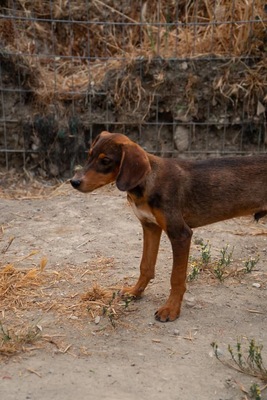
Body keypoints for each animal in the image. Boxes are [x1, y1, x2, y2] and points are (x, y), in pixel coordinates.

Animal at [70, 131, 267, 322]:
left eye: (106, 161)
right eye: (89, 155)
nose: (74, 182)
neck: (147, 182)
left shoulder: (180, 234)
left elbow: (176, 278)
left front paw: (170, 309)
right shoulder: (150, 227)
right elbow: (146, 266)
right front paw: (135, 292)